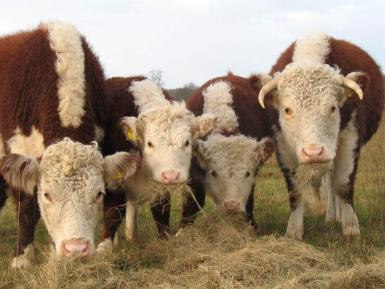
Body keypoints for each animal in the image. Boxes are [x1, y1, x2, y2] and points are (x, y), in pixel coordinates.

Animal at [0, 22, 138, 268]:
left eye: (98, 194)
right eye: (47, 195)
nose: (76, 249)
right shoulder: (19, 149)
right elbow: (27, 209)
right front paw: (22, 258)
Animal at [96, 76, 216, 252]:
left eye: (187, 143)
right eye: (150, 143)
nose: (171, 175)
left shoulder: (158, 185)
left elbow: (161, 210)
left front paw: (164, 239)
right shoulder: (115, 179)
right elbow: (113, 212)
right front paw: (104, 247)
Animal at [178, 73, 274, 228]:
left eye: (247, 173)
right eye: (213, 173)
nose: (232, 206)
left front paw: (251, 227)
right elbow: (192, 203)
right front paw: (182, 230)